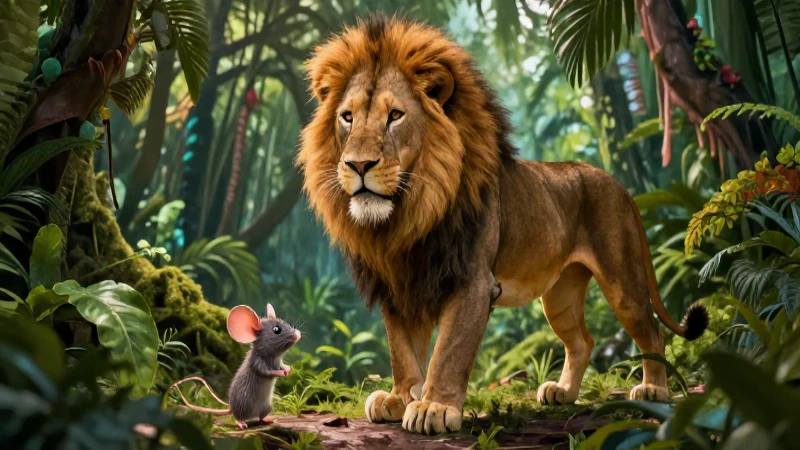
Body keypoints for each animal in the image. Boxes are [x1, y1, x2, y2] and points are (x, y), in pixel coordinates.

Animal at [296, 13, 709, 435]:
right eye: (347, 117)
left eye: (395, 116)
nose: (358, 165)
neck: (407, 216)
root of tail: (618, 184)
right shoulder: (400, 284)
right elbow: (402, 351)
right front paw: (398, 398)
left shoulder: (472, 283)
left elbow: (448, 351)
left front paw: (433, 407)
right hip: (560, 295)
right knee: (582, 341)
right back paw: (563, 392)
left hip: (621, 279)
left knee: (652, 332)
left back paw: (653, 390)